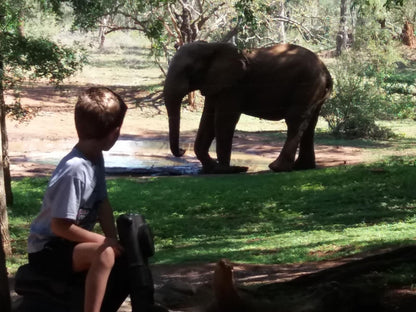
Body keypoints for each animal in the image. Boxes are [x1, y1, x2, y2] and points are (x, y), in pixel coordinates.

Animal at [162, 40, 332, 174]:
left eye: (188, 70)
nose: (183, 150)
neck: (212, 46)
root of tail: (326, 70)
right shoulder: (215, 83)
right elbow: (207, 120)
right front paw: (210, 169)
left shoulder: (234, 86)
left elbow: (224, 119)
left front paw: (227, 170)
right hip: (314, 88)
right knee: (310, 124)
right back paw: (302, 167)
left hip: (307, 84)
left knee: (295, 120)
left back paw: (277, 168)